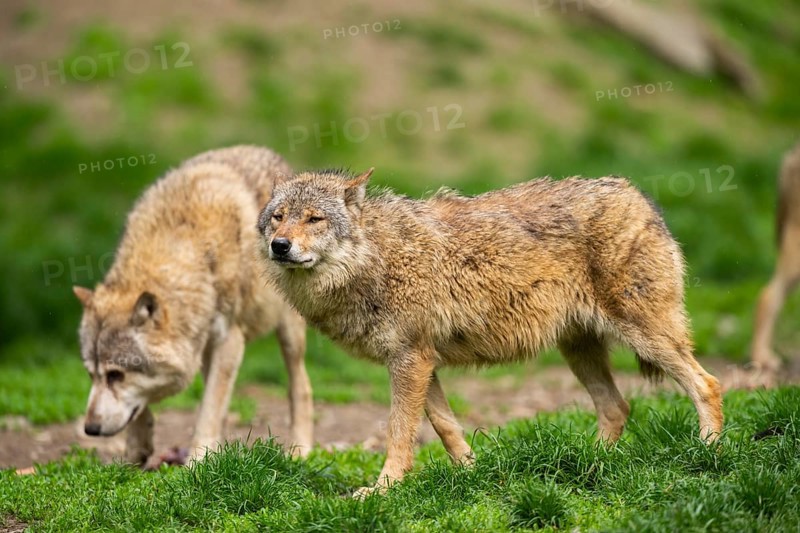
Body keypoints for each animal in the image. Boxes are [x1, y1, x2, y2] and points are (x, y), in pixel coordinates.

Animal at [73, 145, 314, 465]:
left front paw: (198, 461)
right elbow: (147, 408)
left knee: (300, 385)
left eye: (115, 375)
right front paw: (136, 451)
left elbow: (209, 408)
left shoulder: (229, 341)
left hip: (288, 334)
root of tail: (271, 154)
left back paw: (300, 450)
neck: (183, 237)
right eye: (92, 374)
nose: (90, 429)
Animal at [257, 168, 724, 494]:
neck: (376, 259)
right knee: (617, 406)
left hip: (644, 335)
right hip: (578, 350)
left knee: (707, 383)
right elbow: (446, 428)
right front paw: (473, 476)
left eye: (314, 219)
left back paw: (707, 453)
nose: (280, 245)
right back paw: (591, 465)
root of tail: (638, 196)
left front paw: (381, 490)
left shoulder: (409, 361)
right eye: (278, 218)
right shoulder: (422, 362)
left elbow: (398, 434)